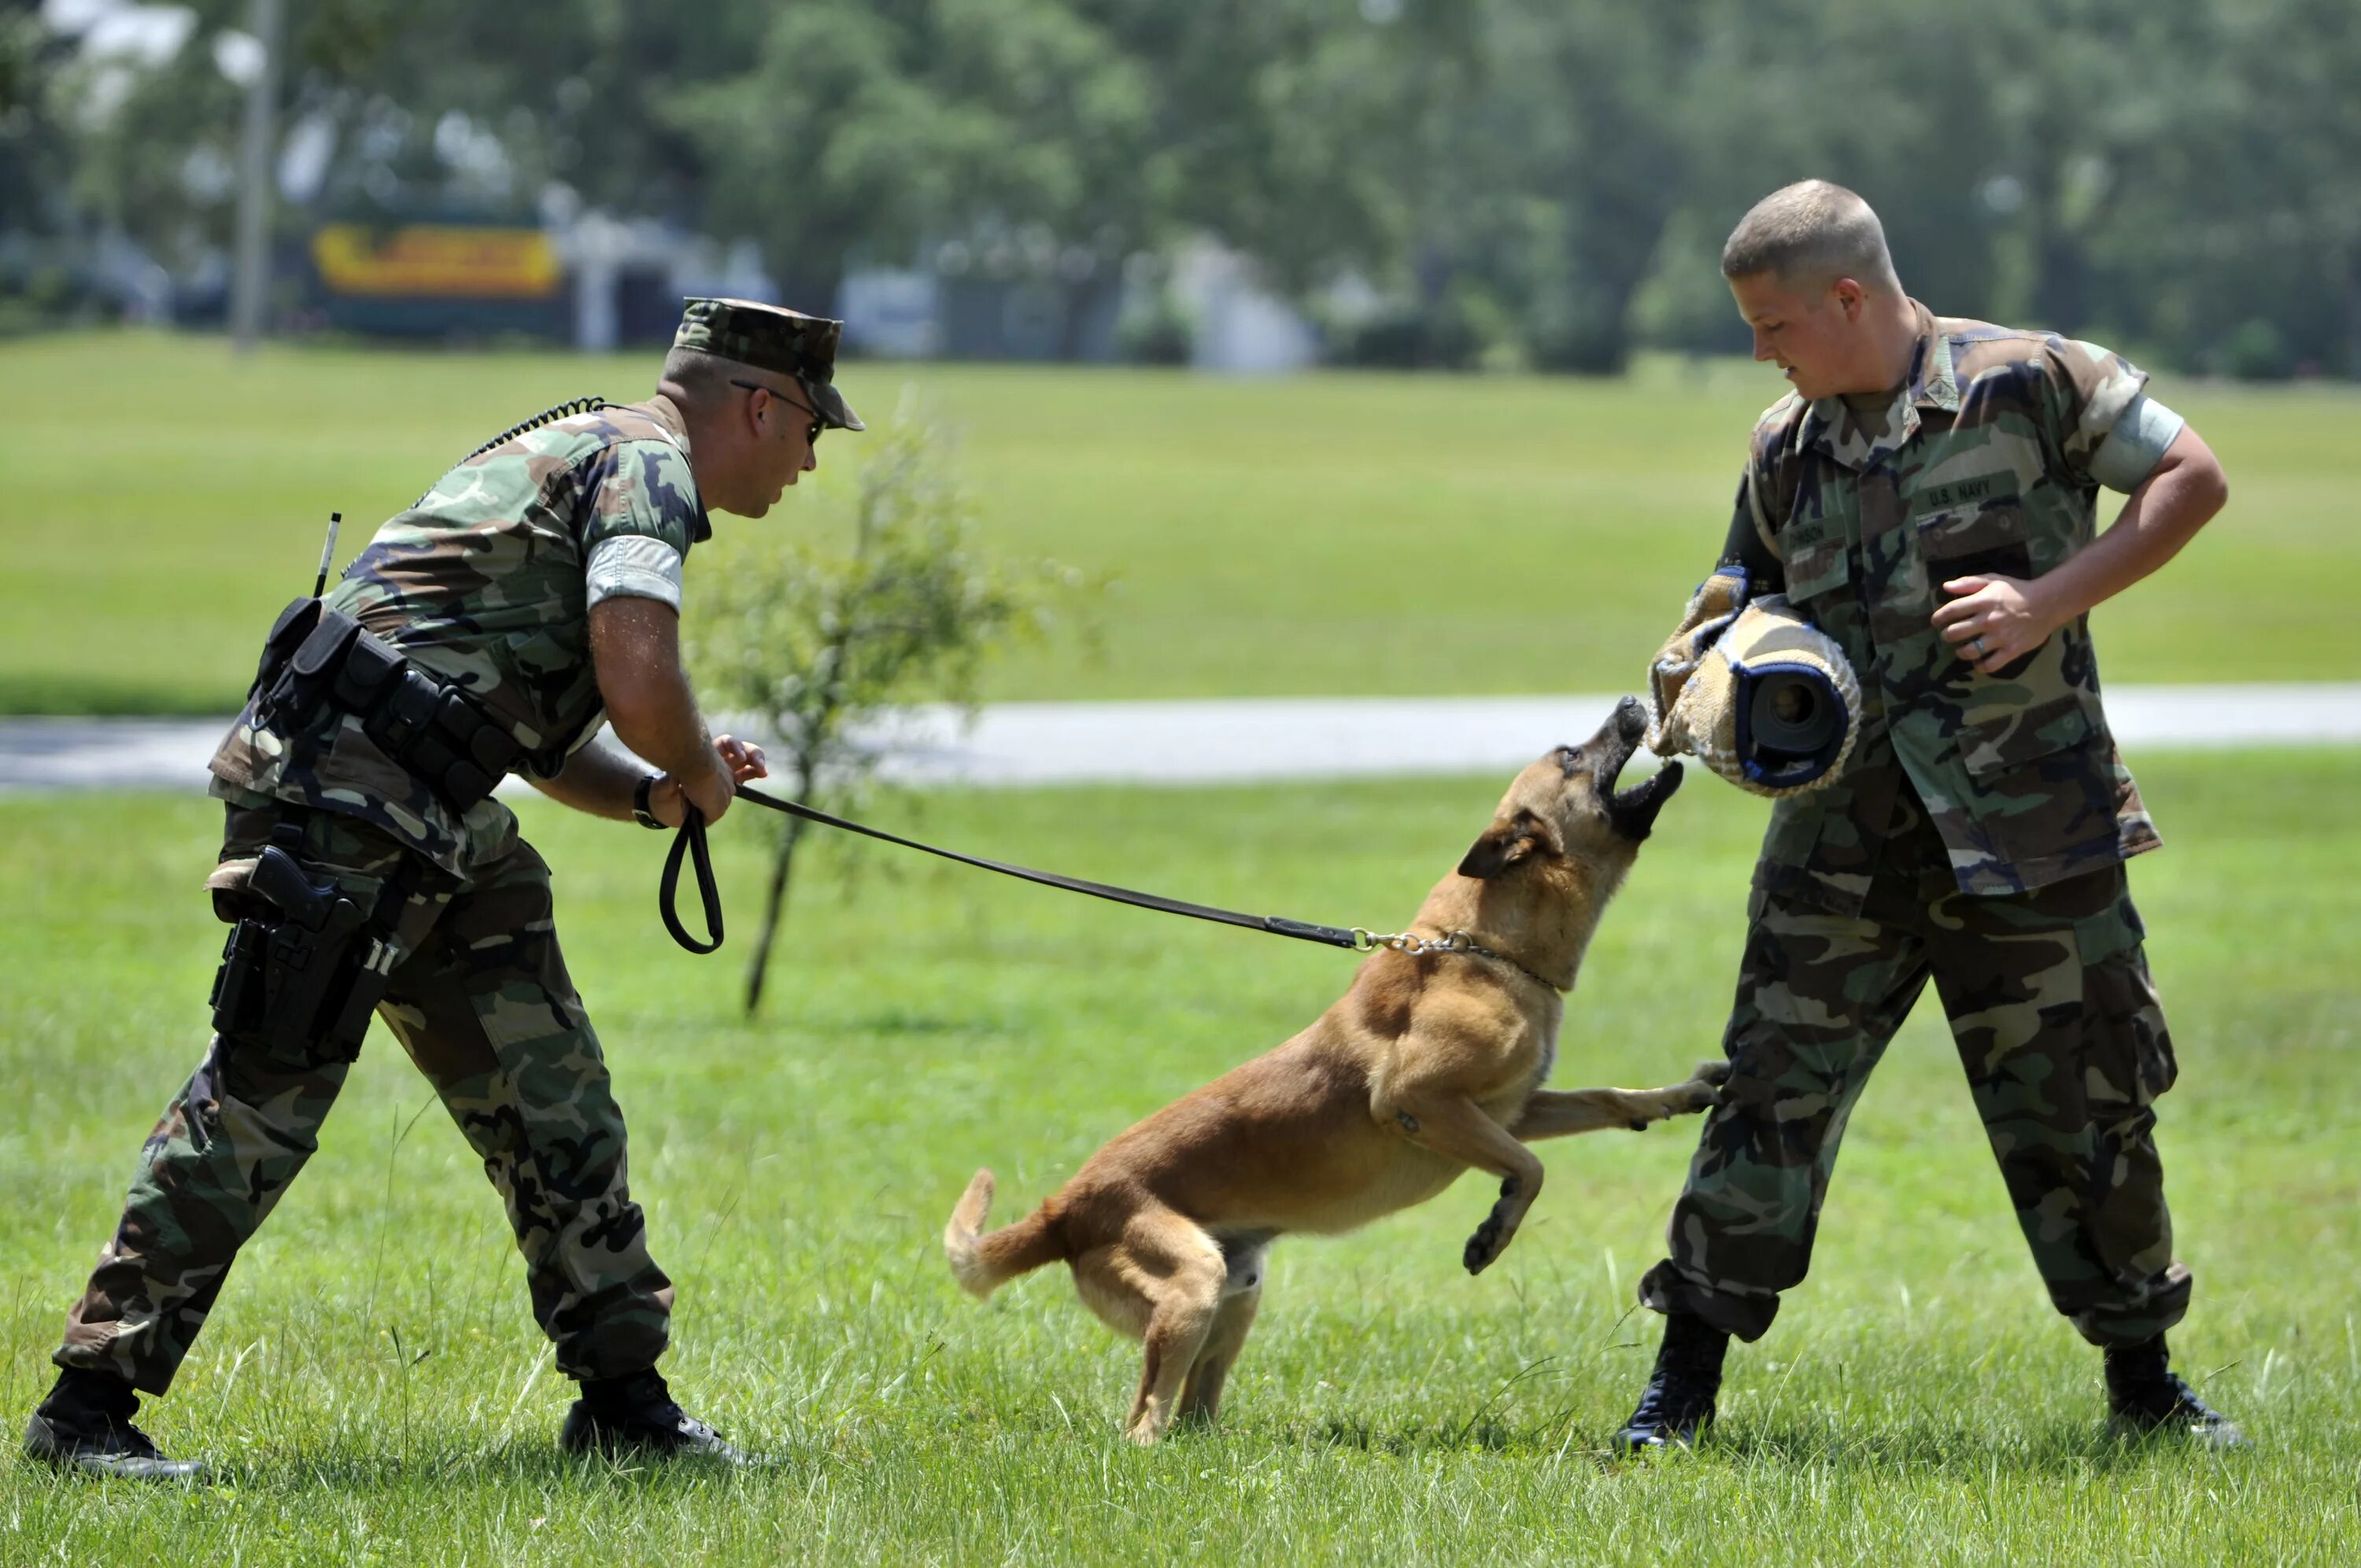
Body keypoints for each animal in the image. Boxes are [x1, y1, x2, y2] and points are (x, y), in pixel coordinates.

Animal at [940, 699, 1738, 1444]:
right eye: (1572, 753)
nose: (1634, 703)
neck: (1485, 948)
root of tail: (1064, 1208)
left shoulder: (1513, 1107)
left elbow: (1603, 1097)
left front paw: (1677, 1094)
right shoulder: (1421, 1101)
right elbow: (1531, 1170)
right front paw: (1493, 1231)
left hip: (1237, 1290)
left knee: (1197, 1407)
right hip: (1190, 1285)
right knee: (1144, 1421)